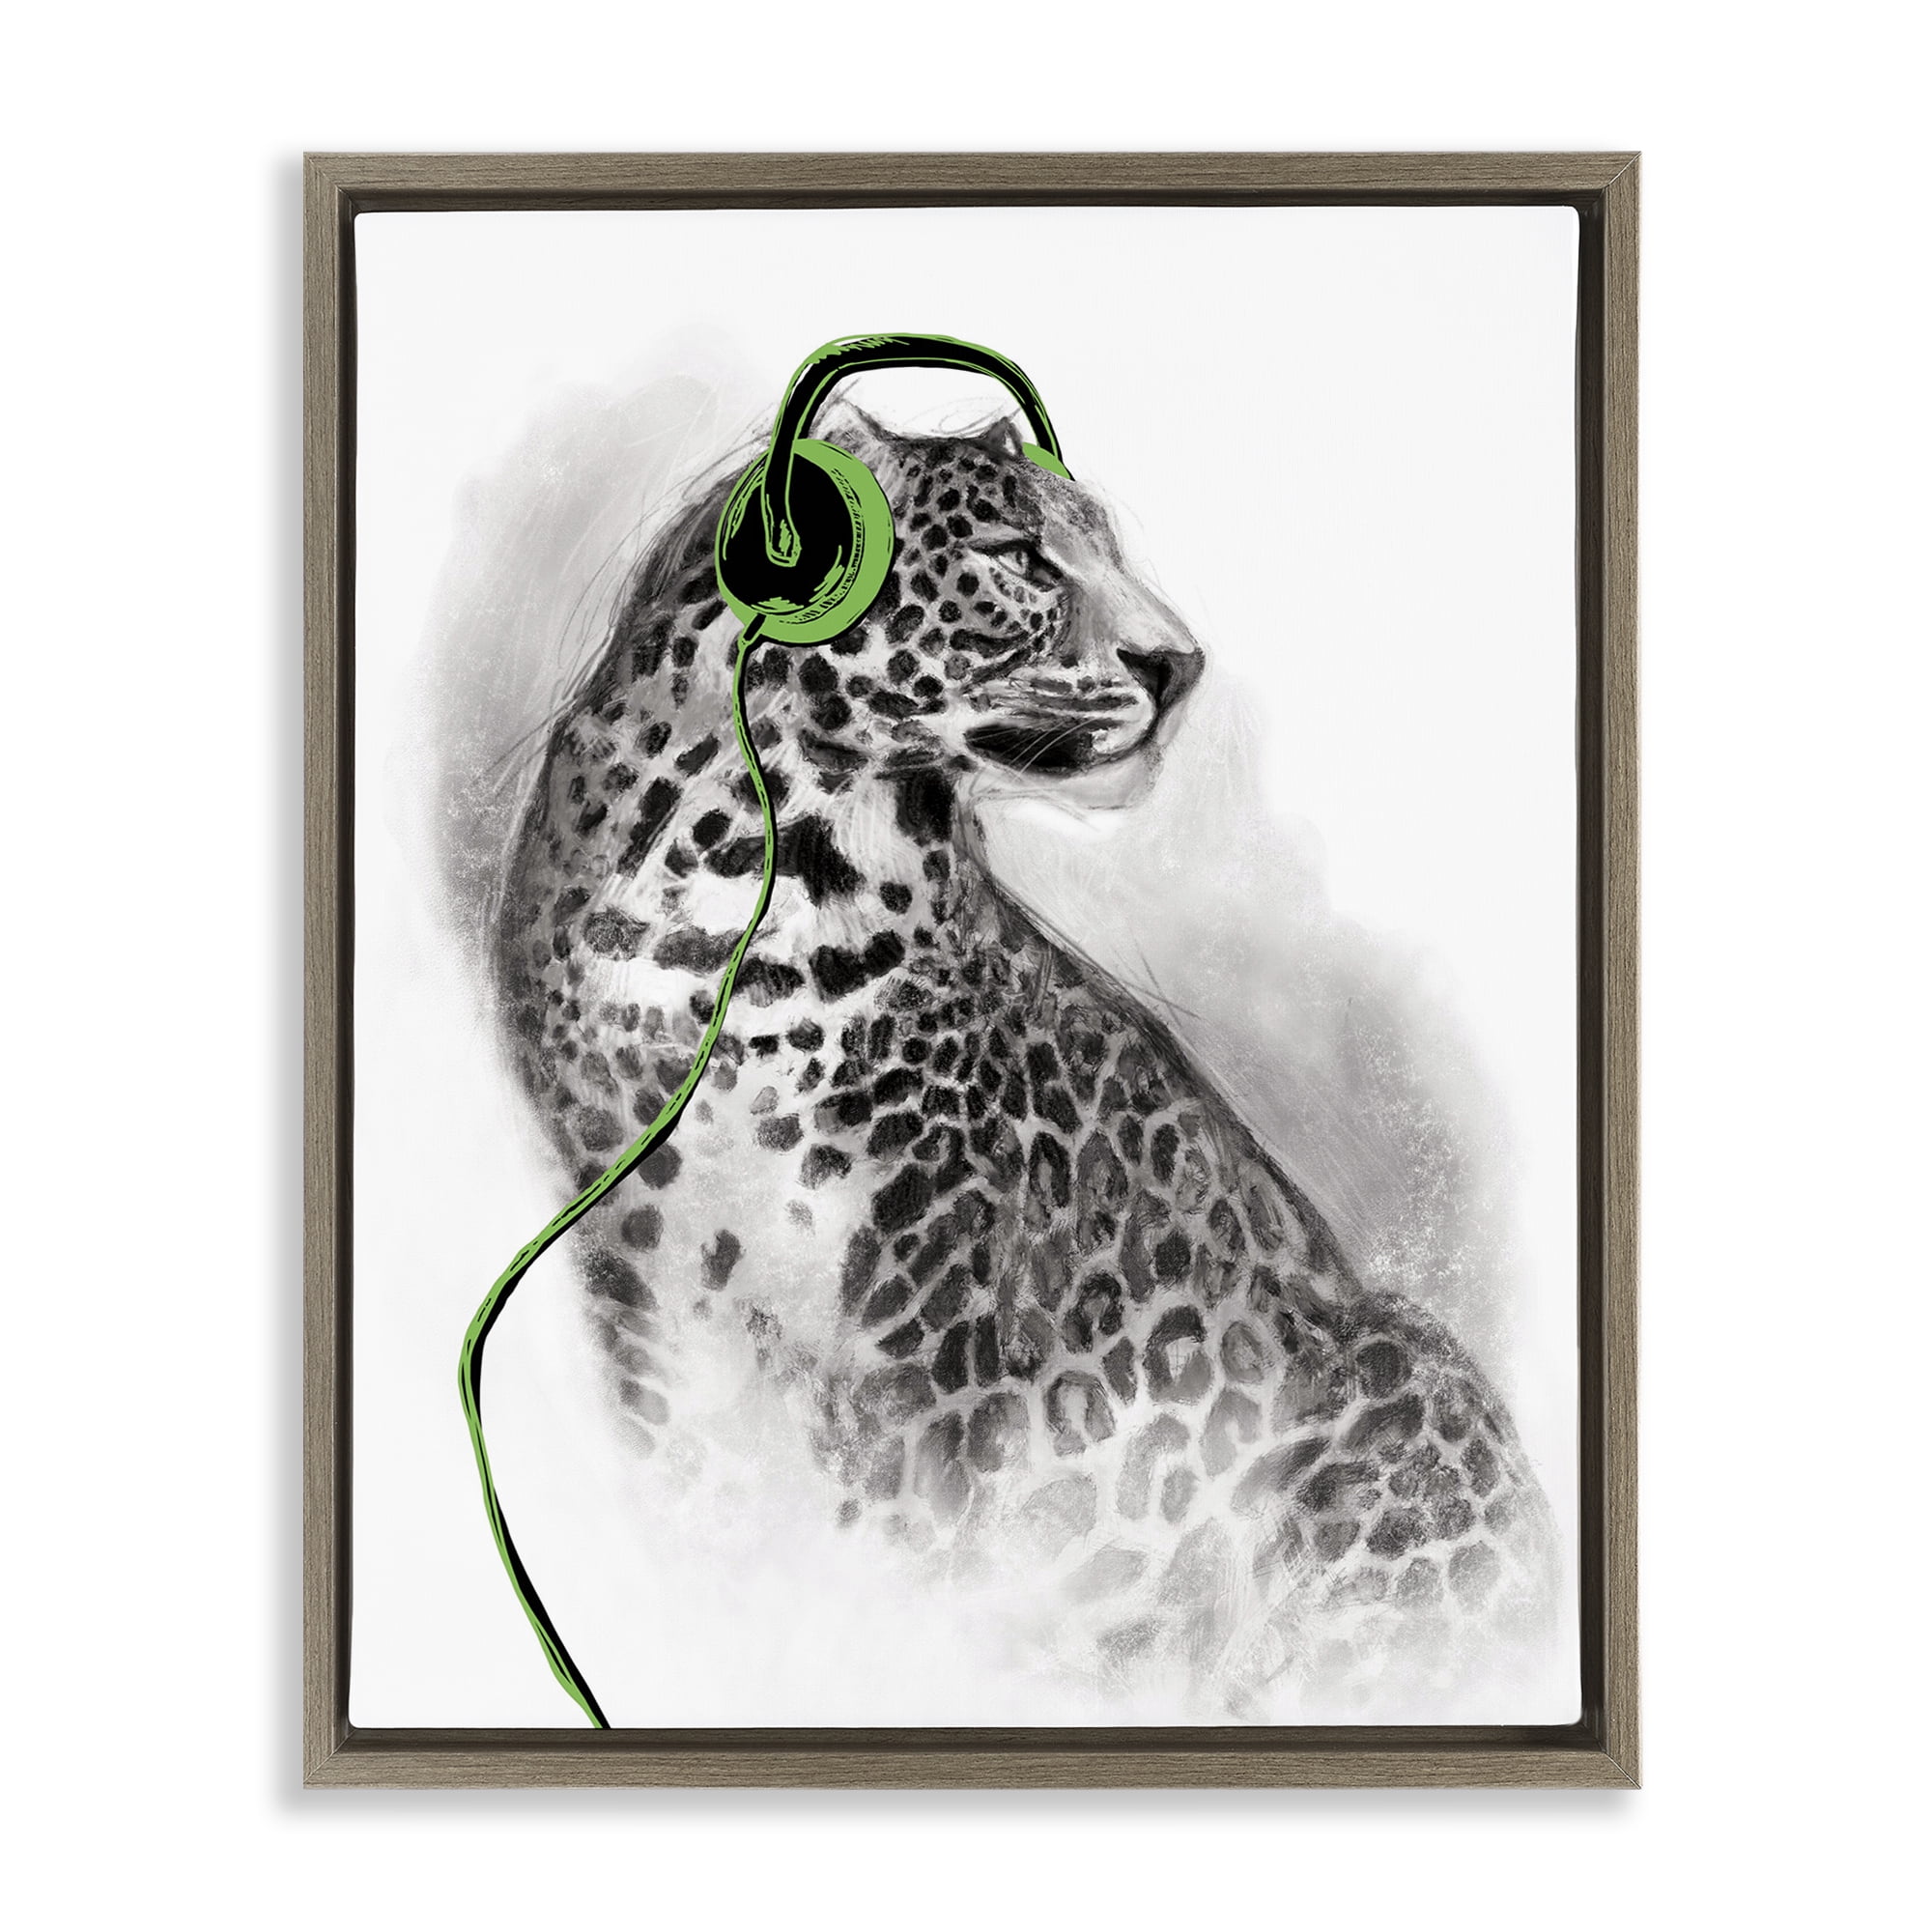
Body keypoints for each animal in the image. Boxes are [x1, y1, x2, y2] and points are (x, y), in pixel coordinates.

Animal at [490, 399, 1558, 1717]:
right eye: (1019, 555)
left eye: (1106, 548)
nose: (1178, 663)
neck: (749, 871)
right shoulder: (628, 1267)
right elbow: (694, 1501)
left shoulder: (926, 1312)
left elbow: (892, 1561)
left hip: (1401, 1391)